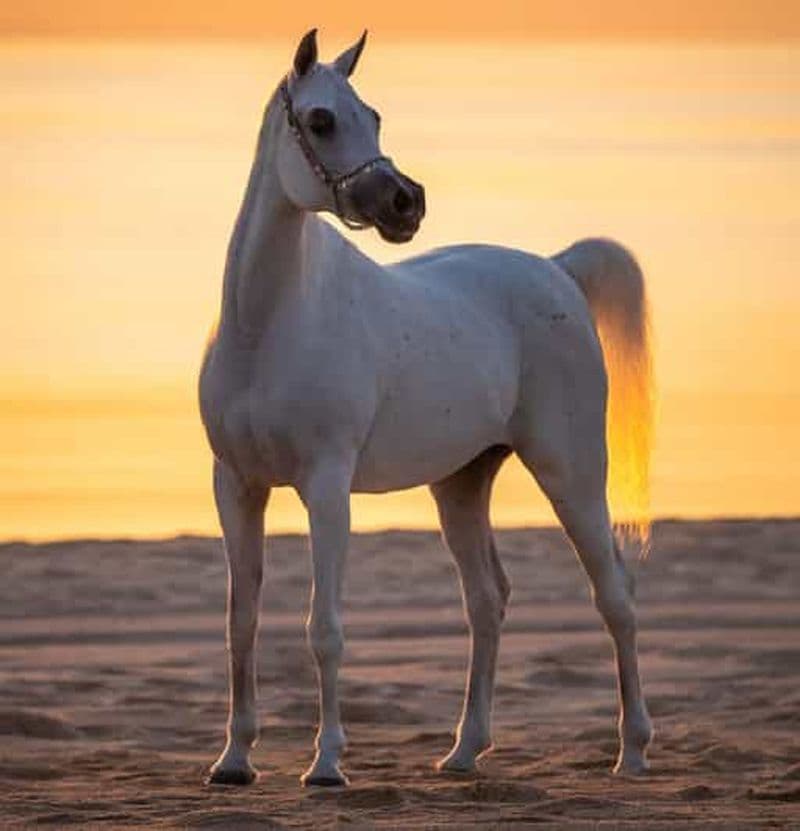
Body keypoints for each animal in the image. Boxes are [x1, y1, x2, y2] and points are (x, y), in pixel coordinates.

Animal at [199, 28, 654, 788]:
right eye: (321, 120)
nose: (404, 202)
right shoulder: (236, 484)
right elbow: (241, 623)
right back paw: (465, 749)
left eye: (374, 115)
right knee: (487, 601)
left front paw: (327, 762)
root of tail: (557, 268)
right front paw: (233, 759)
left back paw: (634, 750)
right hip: (462, 484)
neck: (268, 324)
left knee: (614, 594)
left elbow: (324, 628)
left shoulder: (327, 486)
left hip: (571, 471)